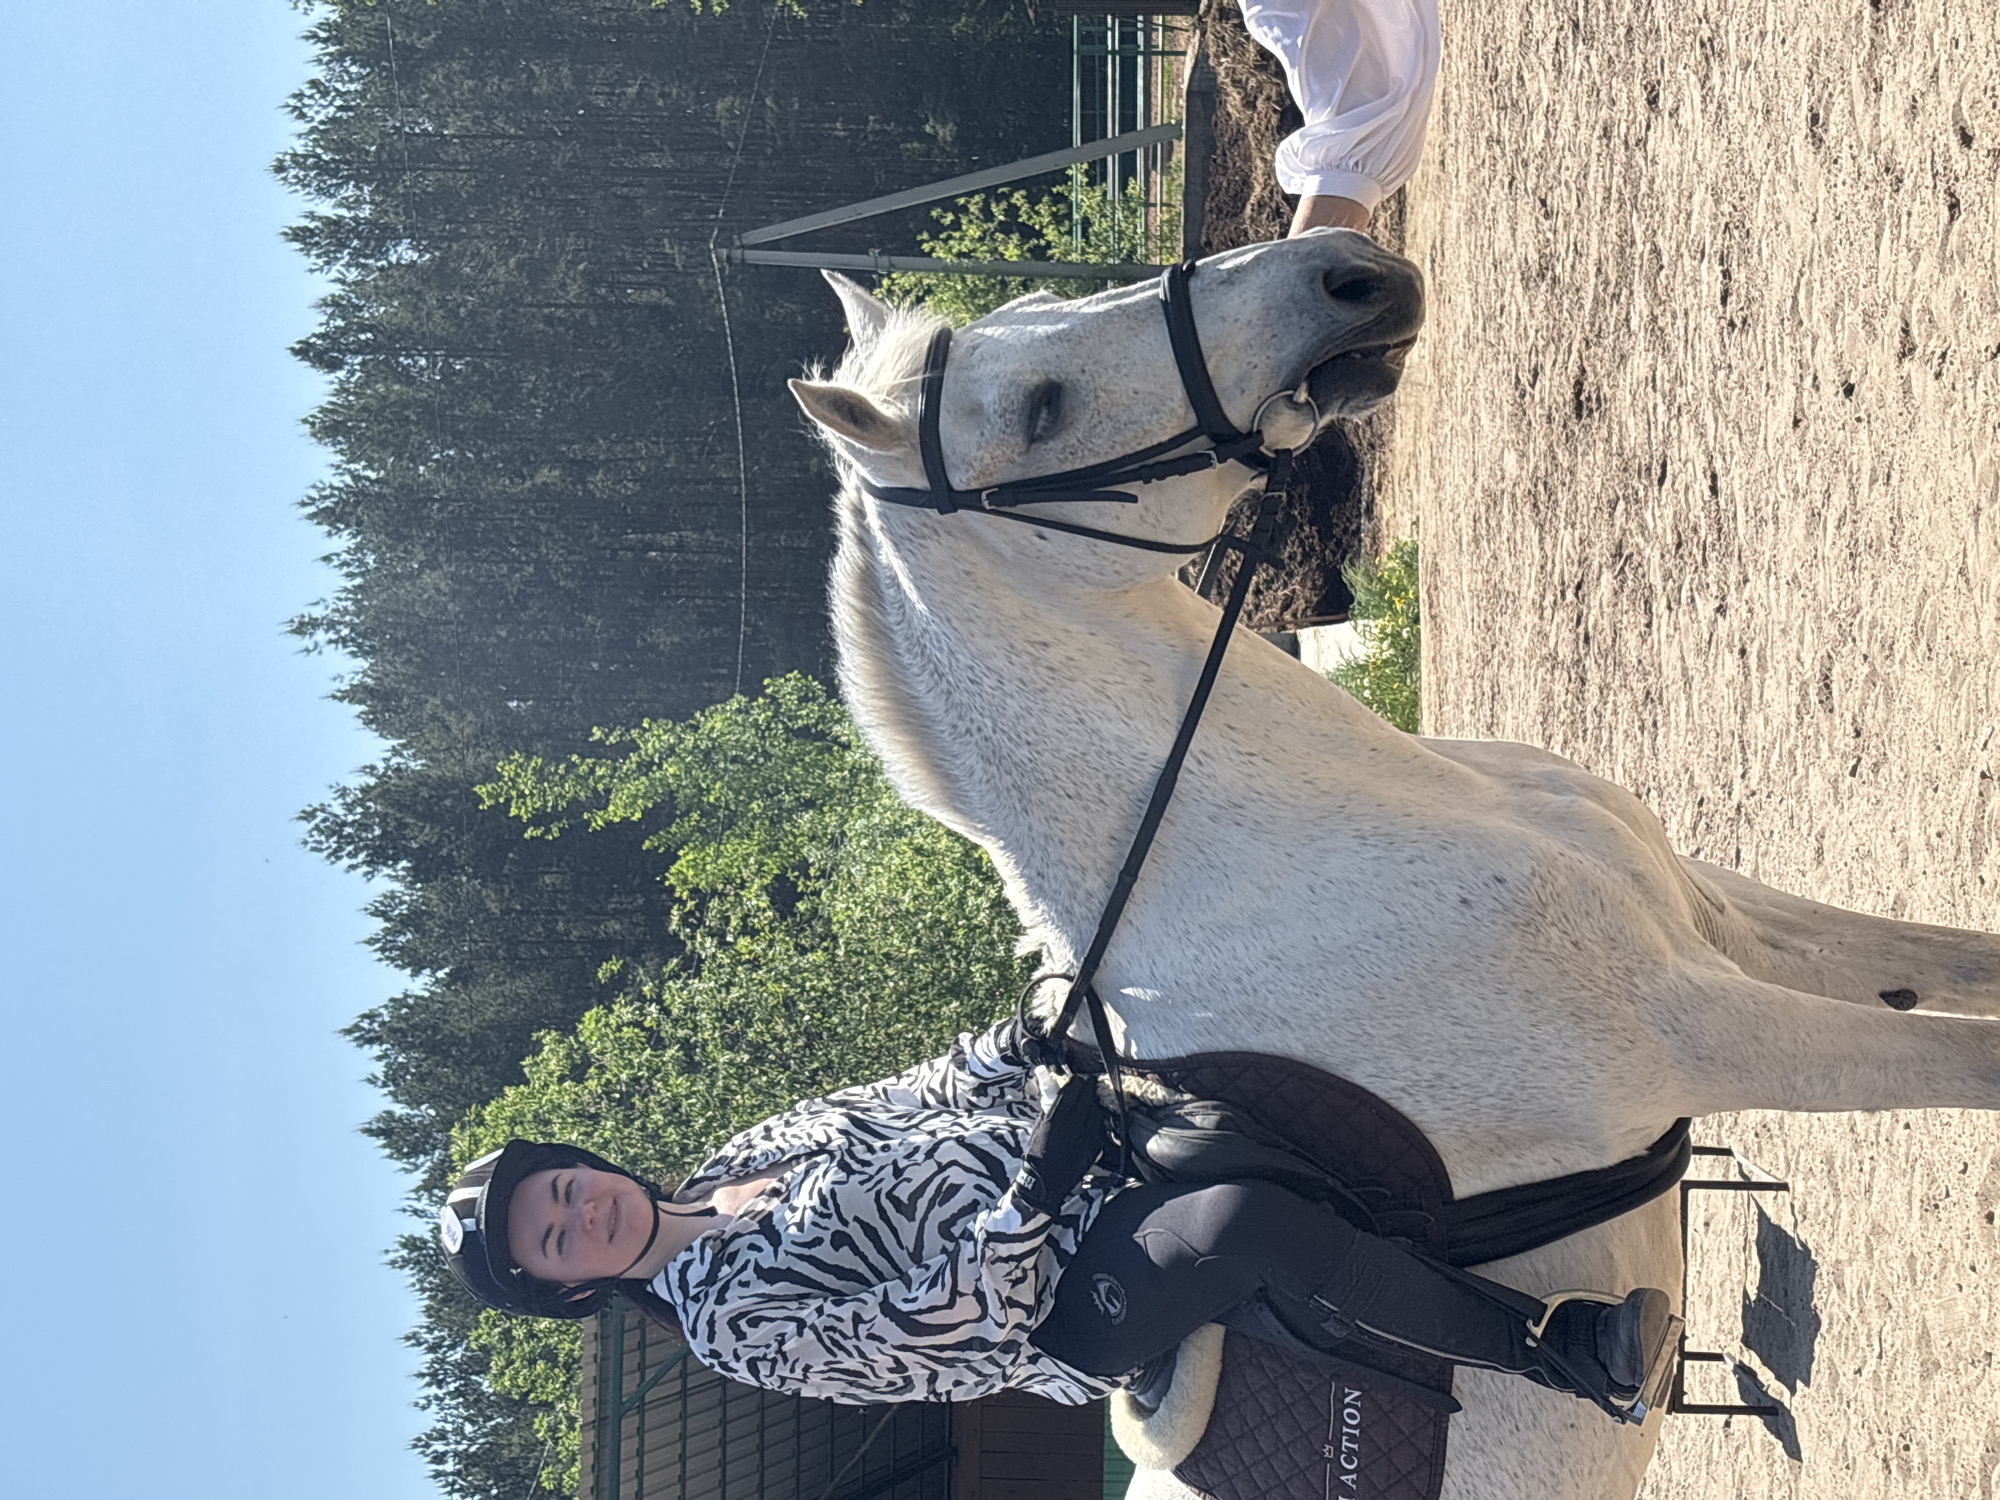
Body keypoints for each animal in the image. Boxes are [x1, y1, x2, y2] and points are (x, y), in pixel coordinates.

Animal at [785, 231, 2000, 1500]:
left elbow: (1944, 961)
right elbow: (1965, 1058)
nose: (1347, 270)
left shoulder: (1714, 924)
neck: (1282, 844)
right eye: (1040, 409)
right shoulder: (1699, 1032)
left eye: (1040, 305)